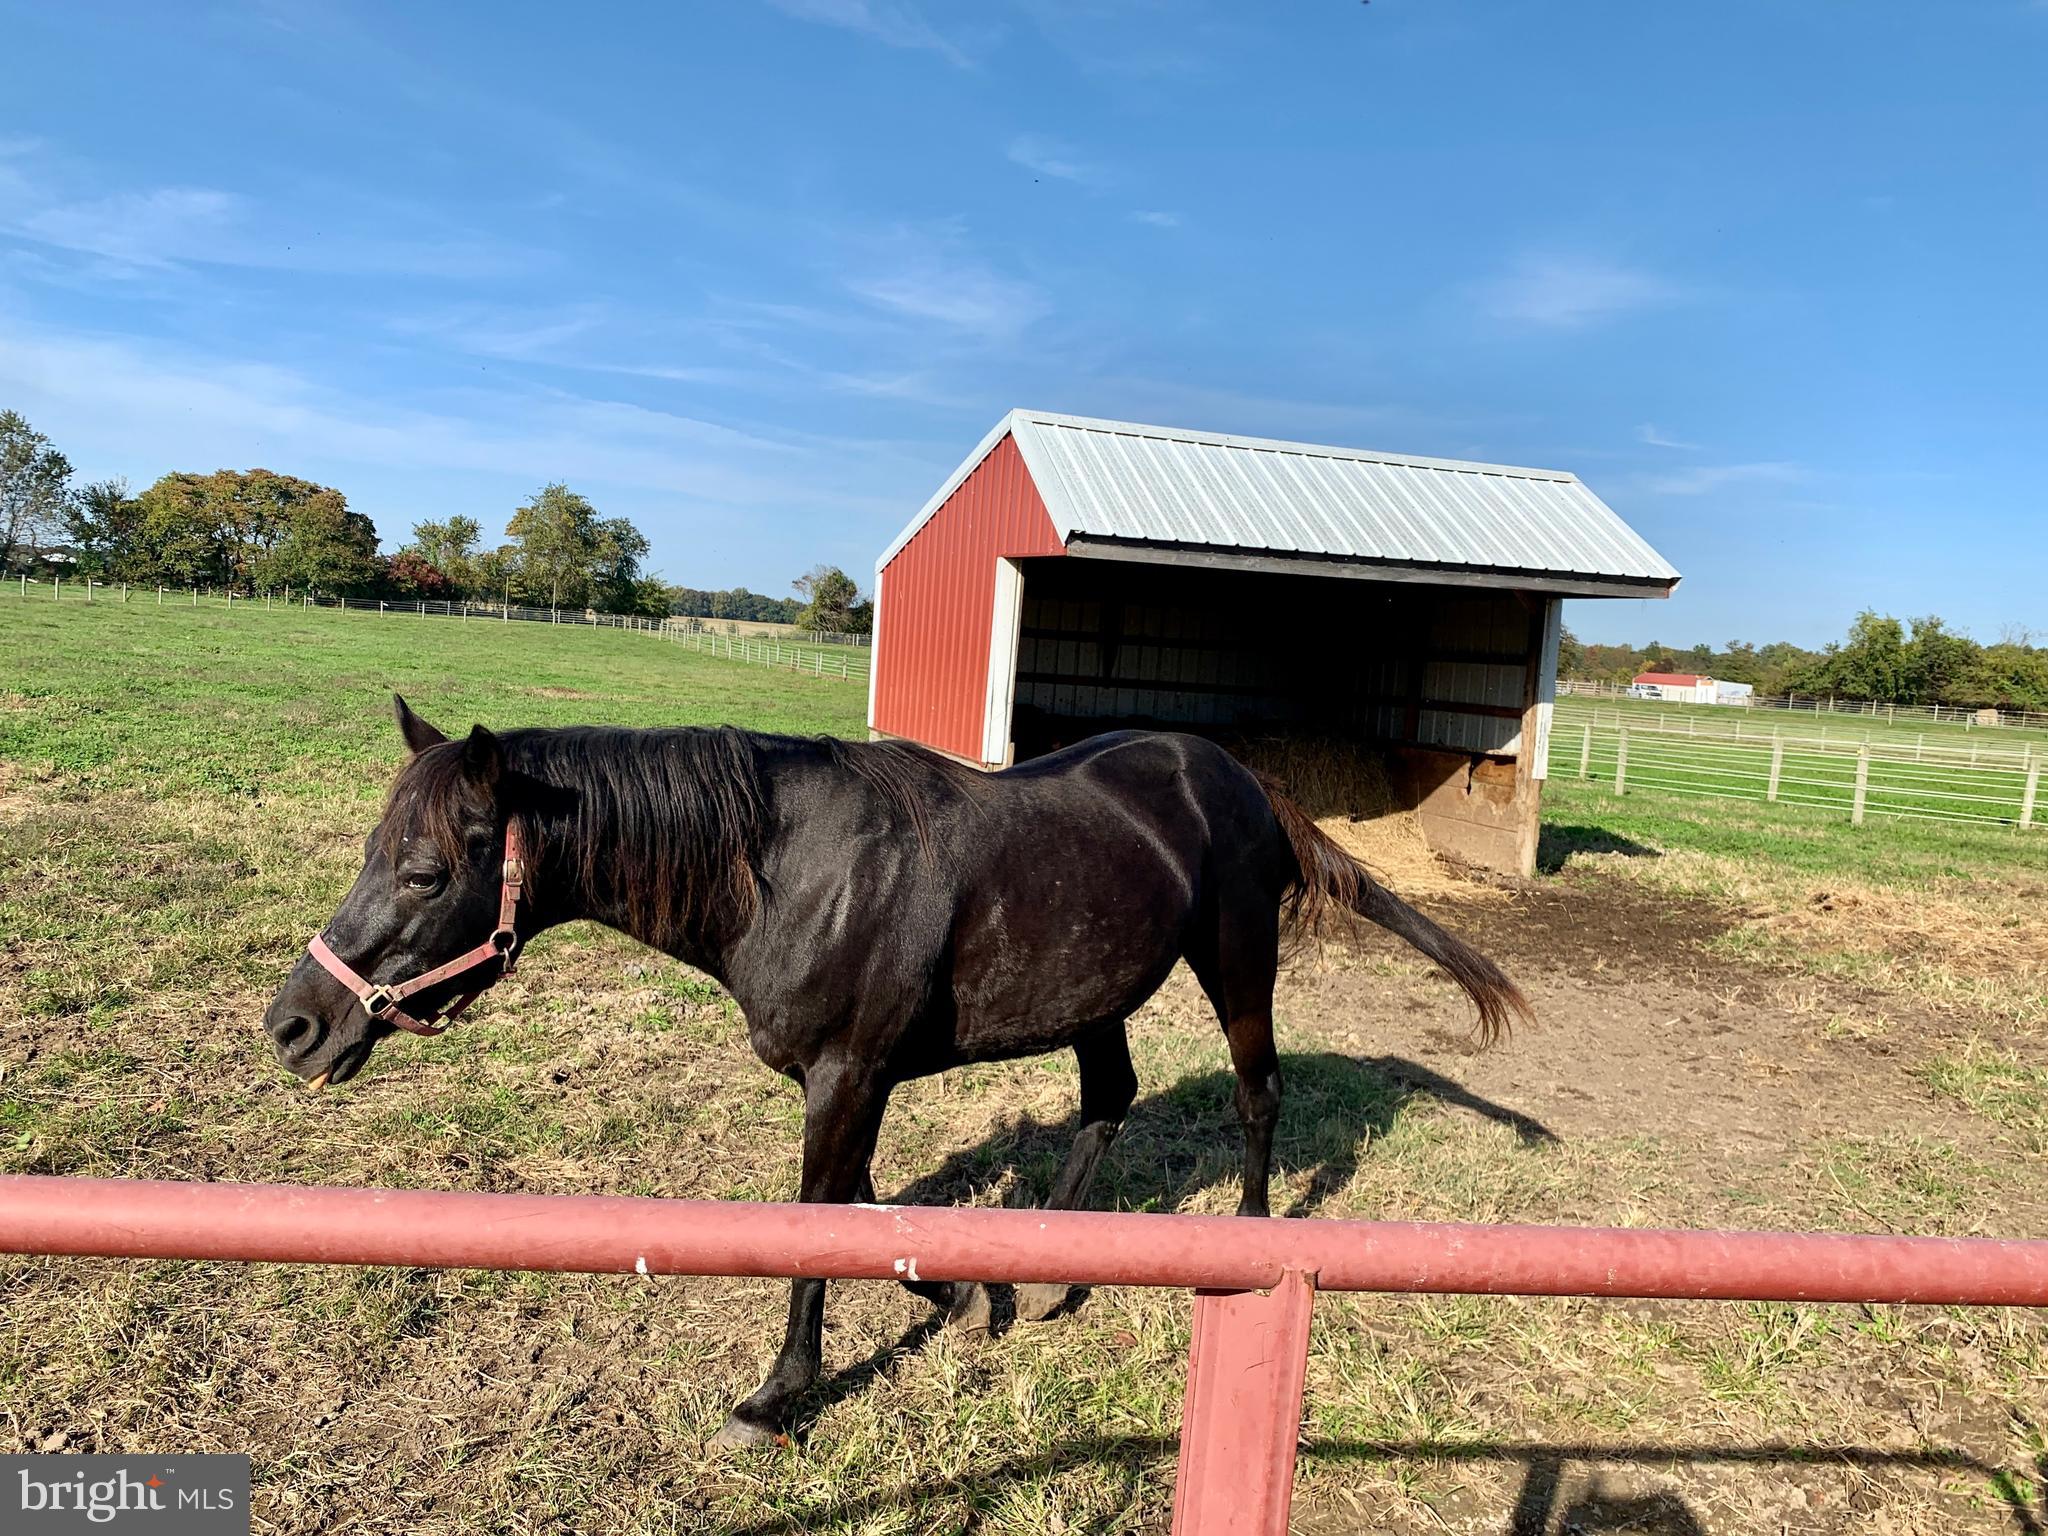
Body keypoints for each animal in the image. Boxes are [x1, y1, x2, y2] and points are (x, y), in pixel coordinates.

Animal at [263, 696, 1530, 1448]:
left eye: (426, 874)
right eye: (378, 855)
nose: (295, 1027)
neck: (785, 870)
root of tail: (1237, 775)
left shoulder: (848, 1071)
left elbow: (823, 1222)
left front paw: (779, 1396)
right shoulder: (841, 1081)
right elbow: (867, 1212)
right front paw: (971, 1296)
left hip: (1234, 961)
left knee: (1256, 1096)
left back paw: (1239, 1242)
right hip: (1094, 996)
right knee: (1107, 1103)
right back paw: (1047, 1273)